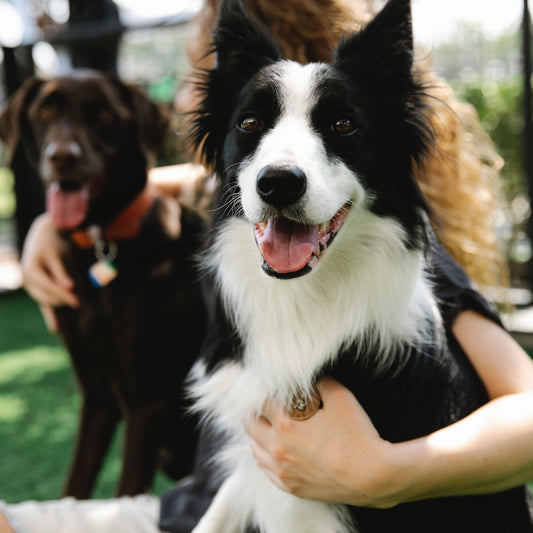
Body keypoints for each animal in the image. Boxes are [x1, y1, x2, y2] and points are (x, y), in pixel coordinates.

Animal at [0, 71, 206, 498]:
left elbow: (126, 489)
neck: (100, 241)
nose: (63, 157)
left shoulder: (146, 401)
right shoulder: (96, 395)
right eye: (45, 110)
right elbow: (76, 481)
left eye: (106, 115)